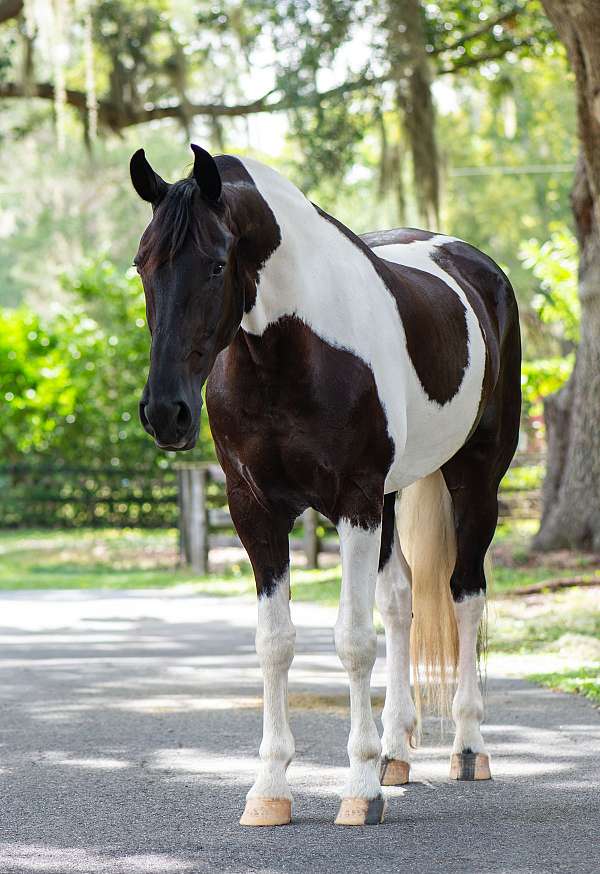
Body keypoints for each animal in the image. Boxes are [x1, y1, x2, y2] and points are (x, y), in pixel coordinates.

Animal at [129, 144, 521, 827]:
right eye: (141, 264)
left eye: (215, 264)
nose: (165, 413)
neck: (291, 348)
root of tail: (477, 268)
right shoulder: (255, 510)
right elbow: (276, 643)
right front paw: (269, 790)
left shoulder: (354, 502)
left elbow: (352, 641)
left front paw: (359, 790)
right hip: (395, 495)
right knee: (401, 603)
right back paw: (396, 754)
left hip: (474, 479)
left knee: (465, 595)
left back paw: (468, 750)